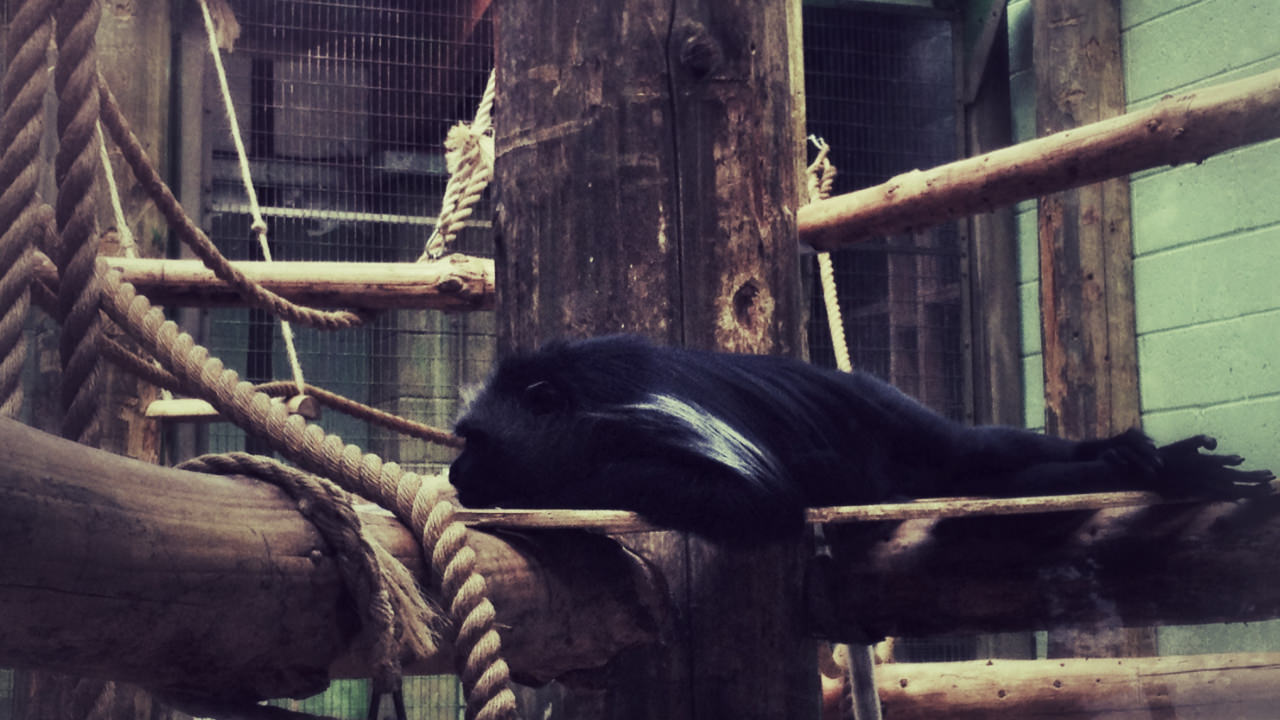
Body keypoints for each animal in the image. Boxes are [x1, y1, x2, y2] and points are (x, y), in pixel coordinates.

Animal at [449, 335, 1274, 545]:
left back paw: (1146, 461)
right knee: (993, 470)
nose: (455, 472)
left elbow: (758, 503)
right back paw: (1136, 463)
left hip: (892, 416)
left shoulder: (656, 420)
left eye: (476, 439)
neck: (586, 405)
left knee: (980, 450)